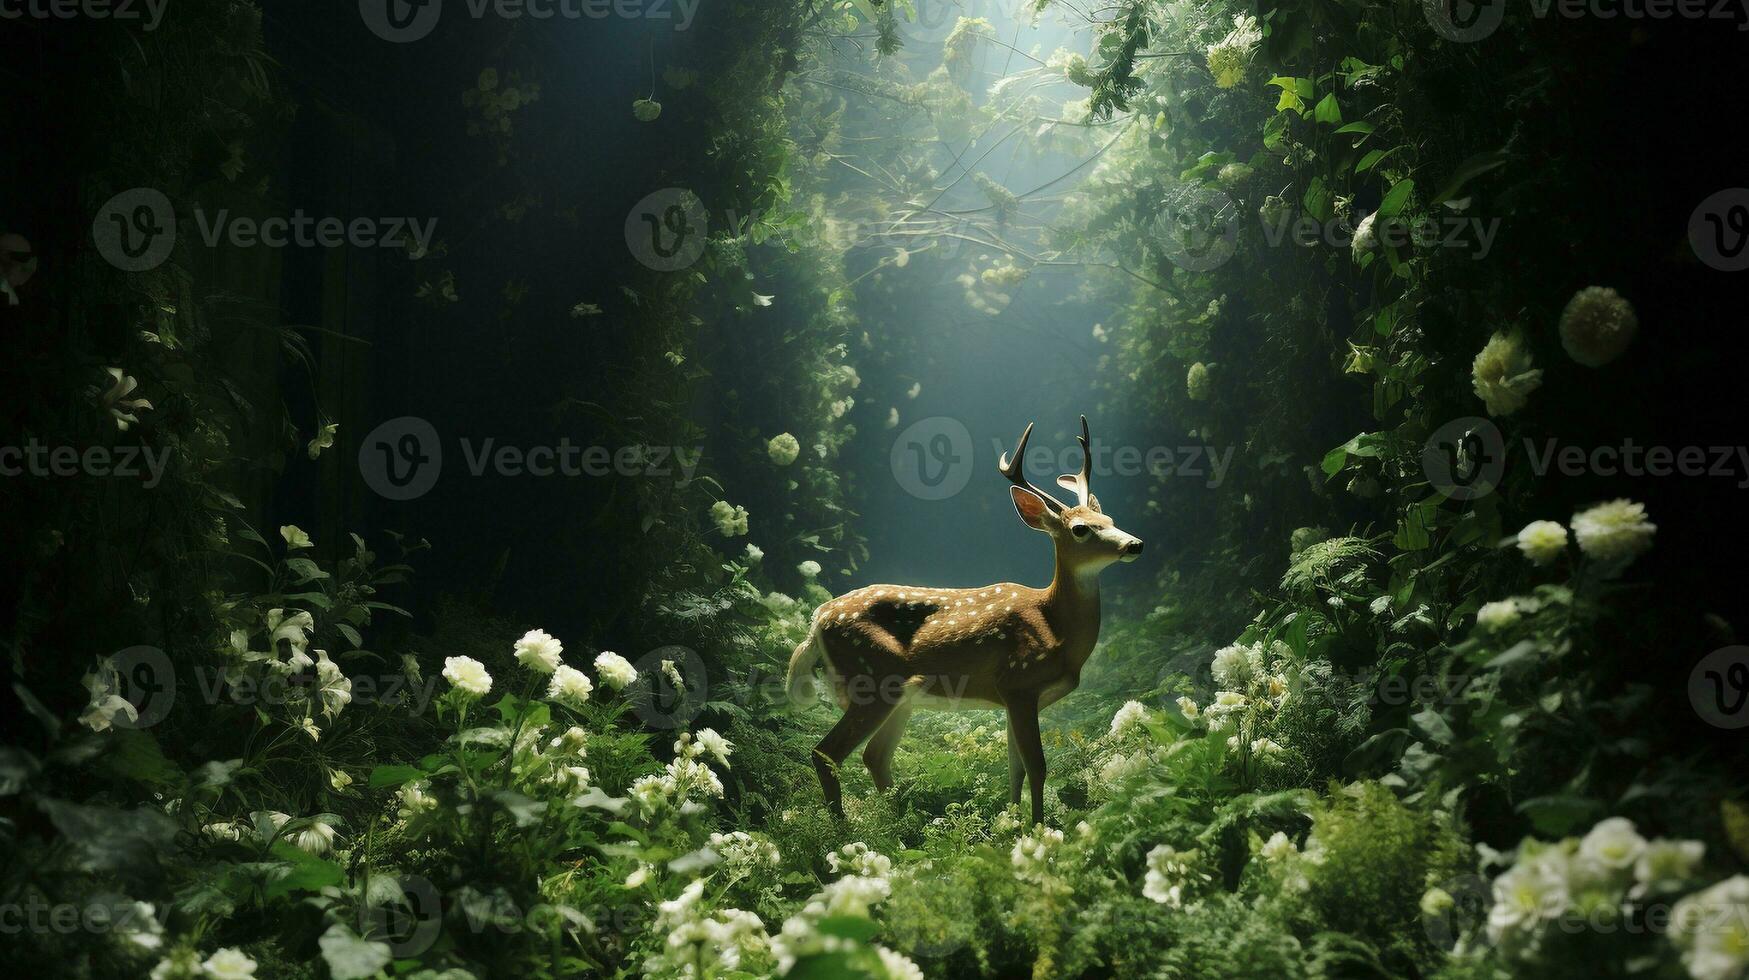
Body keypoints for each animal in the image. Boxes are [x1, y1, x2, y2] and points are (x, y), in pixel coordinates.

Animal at [790, 414, 1147, 826]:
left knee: (874, 755)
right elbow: (1037, 766)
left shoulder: (1016, 699)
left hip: (901, 696)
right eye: (1080, 529)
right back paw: (846, 831)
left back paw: (904, 825)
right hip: (871, 679)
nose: (1135, 544)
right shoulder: (1018, 683)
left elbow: (1015, 767)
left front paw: (1011, 823)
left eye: (1109, 518)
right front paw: (1037, 827)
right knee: (826, 753)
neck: (1055, 625)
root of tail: (816, 622)